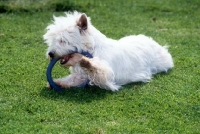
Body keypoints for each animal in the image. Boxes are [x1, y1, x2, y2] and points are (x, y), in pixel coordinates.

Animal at [43, 11, 173, 91]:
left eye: (63, 41)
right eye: (52, 40)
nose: (50, 54)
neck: (93, 49)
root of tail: (152, 41)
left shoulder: (108, 78)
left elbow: (98, 70)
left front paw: (87, 62)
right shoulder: (81, 76)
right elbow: (71, 79)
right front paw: (57, 83)